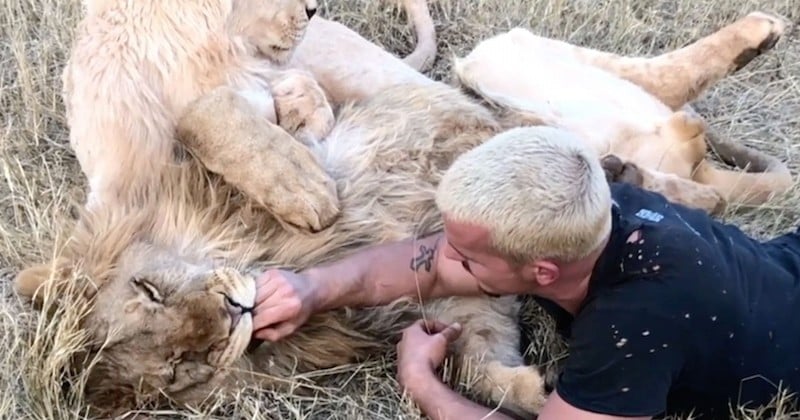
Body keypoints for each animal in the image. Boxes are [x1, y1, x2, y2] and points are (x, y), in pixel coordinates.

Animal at [15, 2, 792, 416]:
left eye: (150, 289)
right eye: (183, 365)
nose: (238, 309)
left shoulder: (301, 117)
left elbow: (226, 119)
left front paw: (303, 189)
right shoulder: (455, 294)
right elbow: (477, 356)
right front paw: (523, 385)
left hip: (485, 64)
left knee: (652, 94)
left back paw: (752, 44)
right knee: (696, 159)